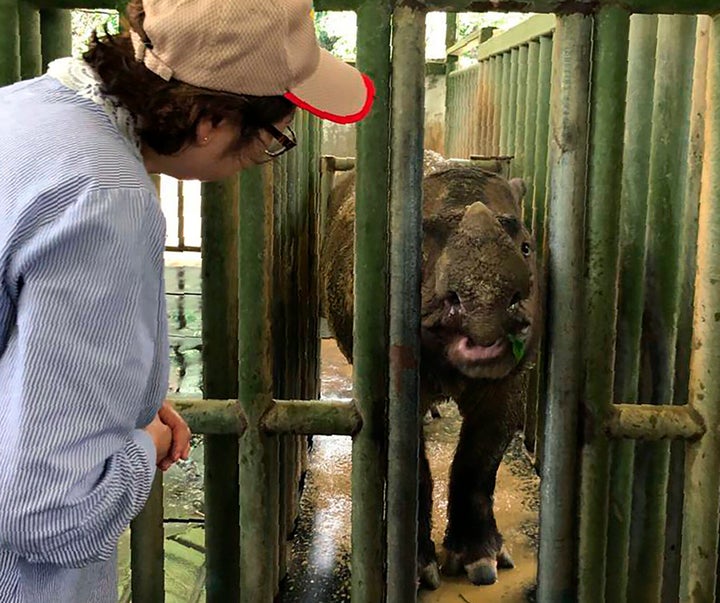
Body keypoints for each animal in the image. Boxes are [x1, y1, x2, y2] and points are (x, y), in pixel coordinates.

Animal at [320, 151, 540, 588]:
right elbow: (410, 465)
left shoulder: (512, 377)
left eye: (526, 248)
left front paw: (483, 568)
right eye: (417, 258)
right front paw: (419, 574)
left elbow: (482, 456)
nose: (484, 306)